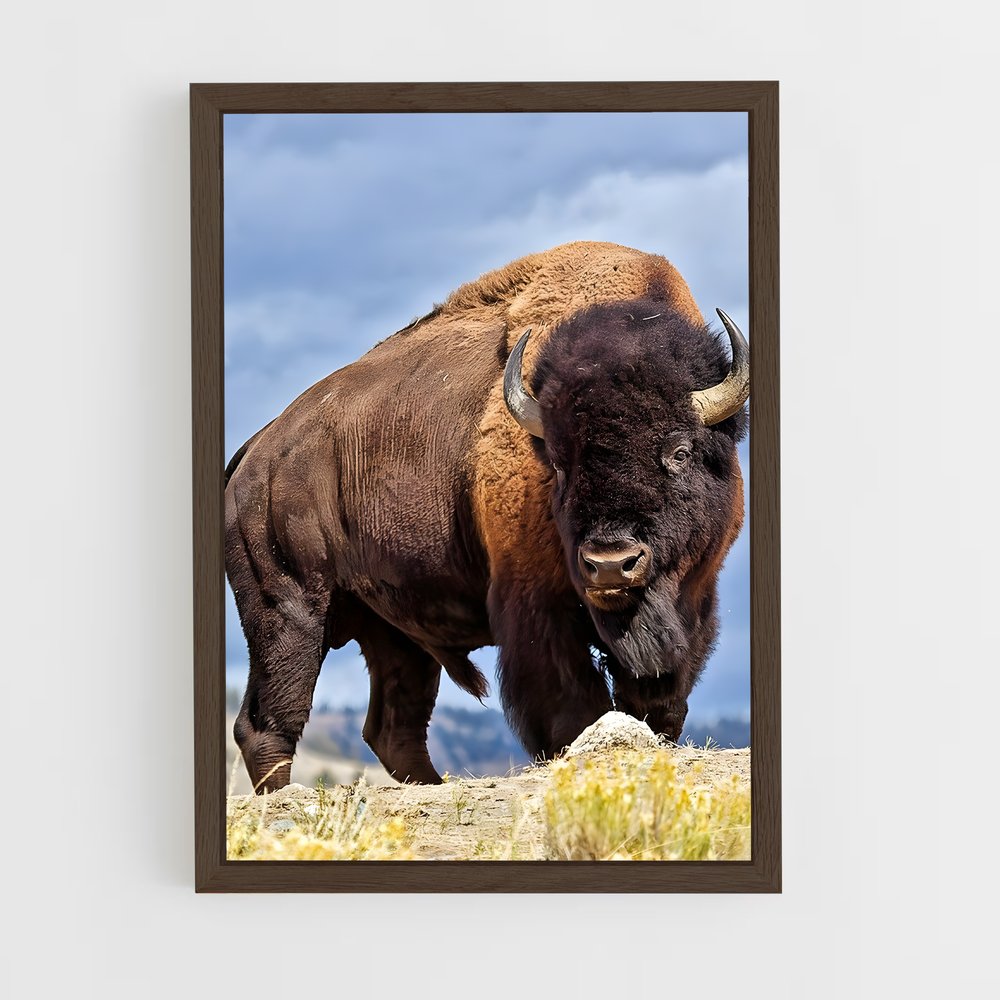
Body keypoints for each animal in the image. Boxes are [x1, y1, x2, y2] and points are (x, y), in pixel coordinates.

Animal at [225, 241, 749, 791]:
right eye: (559, 462)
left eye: (681, 452)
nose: (610, 563)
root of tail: (257, 450)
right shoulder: (535, 610)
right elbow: (572, 710)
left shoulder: (692, 605)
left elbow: (661, 703)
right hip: (290, 612)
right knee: (268, 721)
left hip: (393, 632)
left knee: (392, 727)